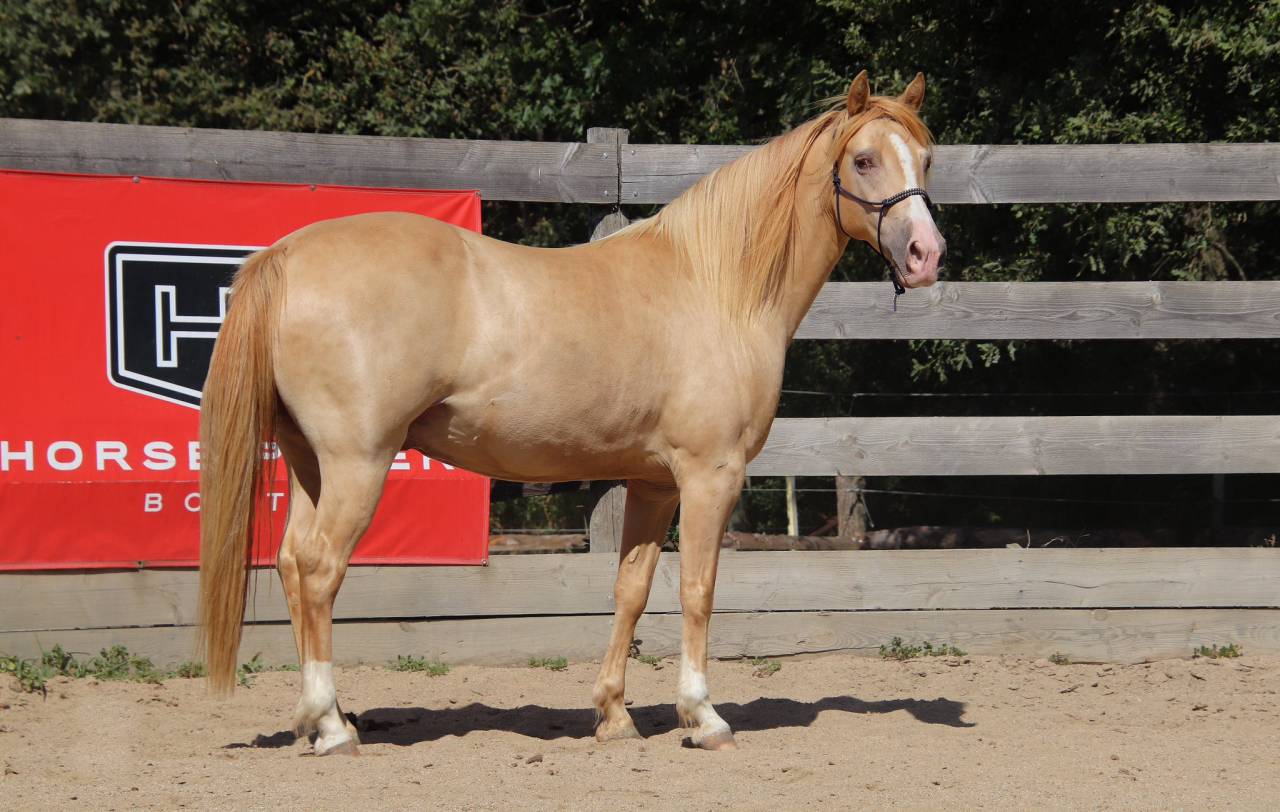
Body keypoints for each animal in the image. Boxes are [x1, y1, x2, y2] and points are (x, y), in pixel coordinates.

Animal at [198, 70, 945, 755]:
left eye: (926, 157)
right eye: (863, 159)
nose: (926, 255)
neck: (716, 286)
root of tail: (287, 253)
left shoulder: (653, 483)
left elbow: (632, 589)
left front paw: (613, 715)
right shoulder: (711, 475)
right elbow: (698, 587)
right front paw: (702, 716)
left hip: (311, 465)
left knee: (293, 564)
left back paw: (320, 718)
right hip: (359, 462)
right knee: (321, 568)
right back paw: (331, 727)